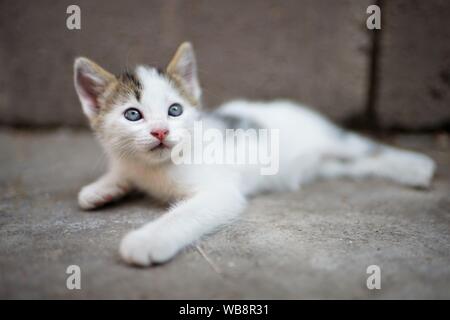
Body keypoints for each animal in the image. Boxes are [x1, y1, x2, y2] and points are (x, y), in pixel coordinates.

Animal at [74, 41, 436, 266]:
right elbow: (121, 172)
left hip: (334, 140)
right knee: (361, 163)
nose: (161, 131)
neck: (154, 168)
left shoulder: (220, 192)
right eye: (133, 115)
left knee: (368, 148)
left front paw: (147, 241)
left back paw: (416, 166)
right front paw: (101, 189)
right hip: (332, 166)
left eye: (175, 110)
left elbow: (185, 214)